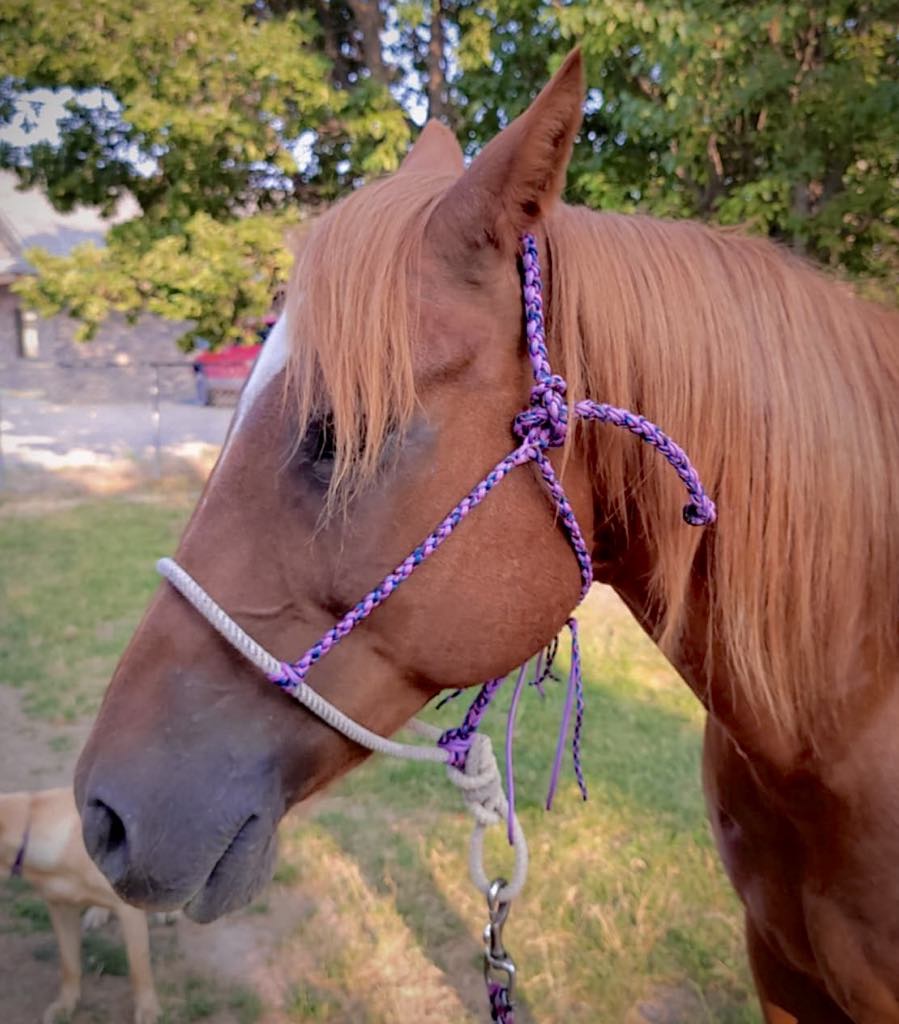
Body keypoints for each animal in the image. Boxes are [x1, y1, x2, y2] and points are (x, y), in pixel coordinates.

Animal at [0, 790, 159, 1024]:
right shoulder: (61, 909)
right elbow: (69, 964)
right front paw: (66, 1005)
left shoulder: (129, 910)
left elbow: (139, 967)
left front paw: (148, 1010)